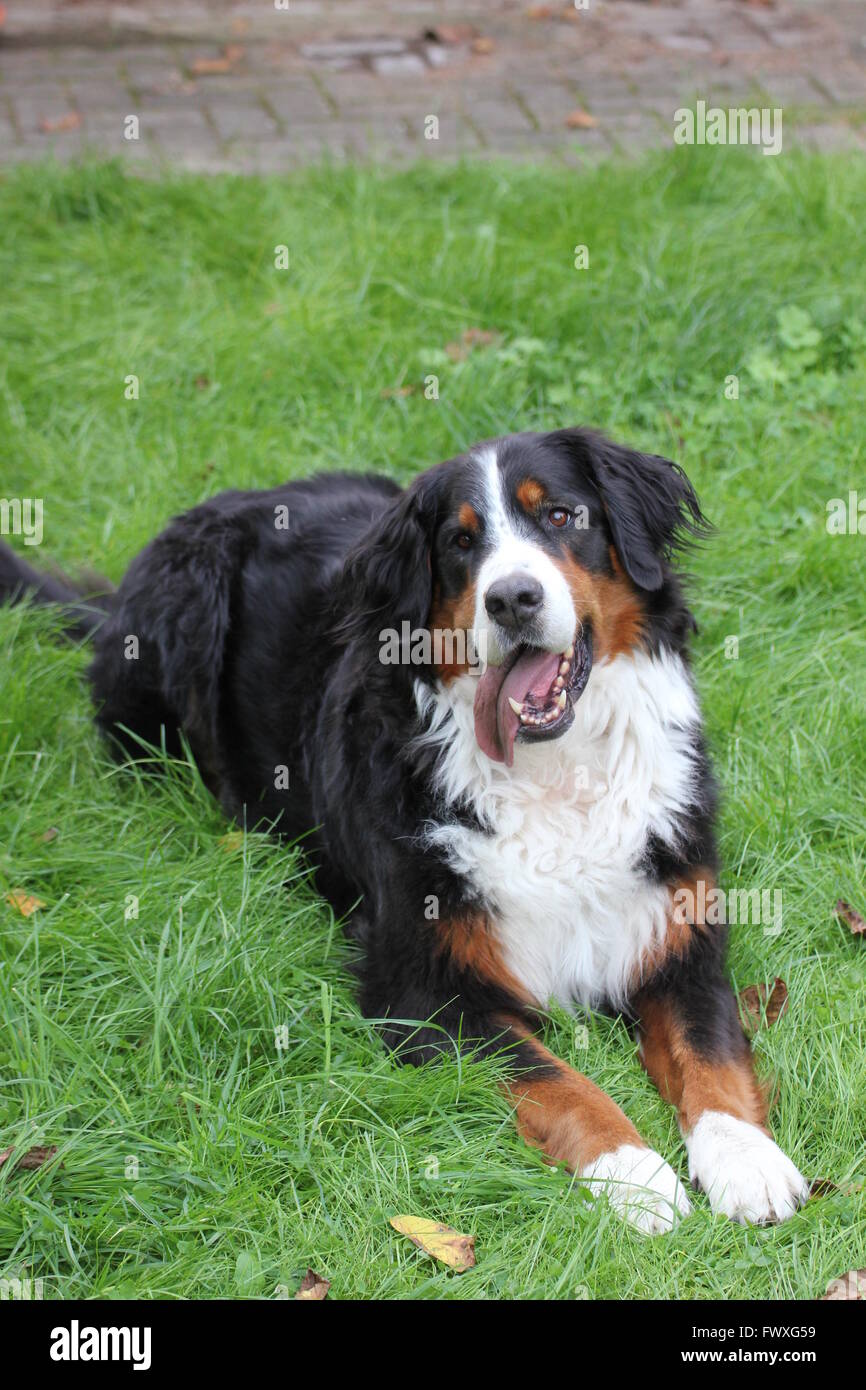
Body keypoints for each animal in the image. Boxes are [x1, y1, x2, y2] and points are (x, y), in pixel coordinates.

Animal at [1, 428, 811, 1234]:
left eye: (560, 516)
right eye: (461, 541)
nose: (512, 598)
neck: (555, 773)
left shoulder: (680, 940)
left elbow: (711, 1052)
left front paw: (749, 1163)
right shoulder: (423, 989)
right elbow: (558, 1080)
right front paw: (634, 1173)